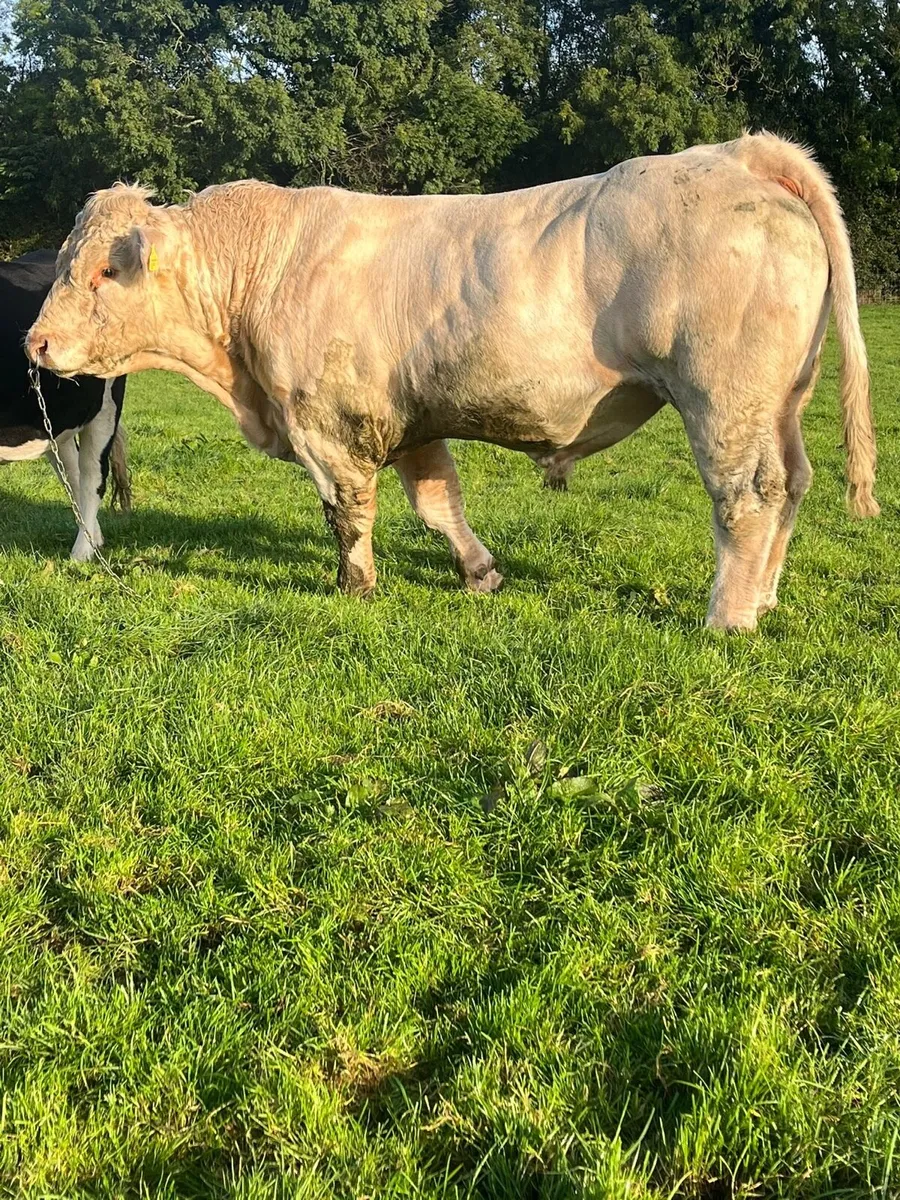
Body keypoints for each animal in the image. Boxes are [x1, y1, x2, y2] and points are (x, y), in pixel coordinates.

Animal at [0, 249, 130, 561]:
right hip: (55, 419)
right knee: (72, 472)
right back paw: (94, 539)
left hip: (105, 407)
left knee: (93, 476)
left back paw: (81, 553)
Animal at [26, 133, 878, 630]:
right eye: (64, 260)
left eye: (105, 270)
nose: (36, 342)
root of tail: (734, 152)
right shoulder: (409, 420)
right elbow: (438, 505)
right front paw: (481, 573)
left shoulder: (327, 424)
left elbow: (348, 513)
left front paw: (356, 588)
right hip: (782, 400)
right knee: (794, 484)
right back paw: (764, 596)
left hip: (723, 398)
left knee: (748, 496)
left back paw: (729, 617)